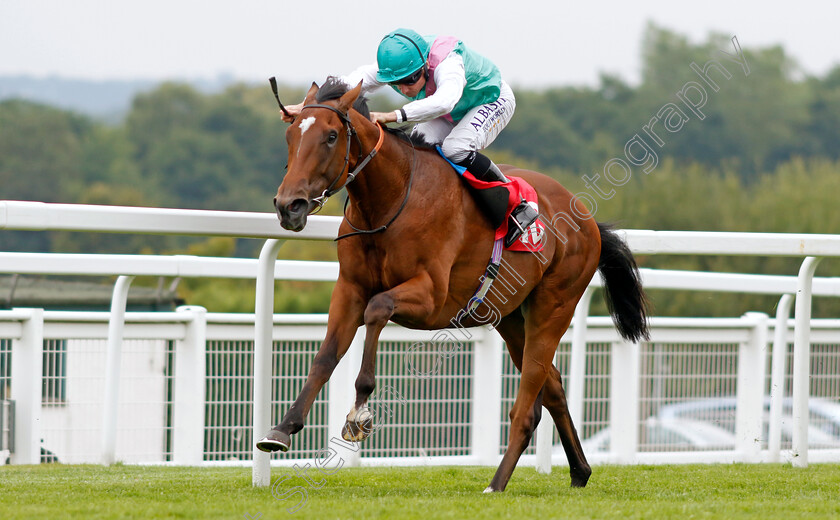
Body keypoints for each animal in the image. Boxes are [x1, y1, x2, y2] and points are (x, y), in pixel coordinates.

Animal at [258, 77, 648, 492]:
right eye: (290, 136)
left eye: (331, 136)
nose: (289, 206)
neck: (391, 200)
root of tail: (588, 221)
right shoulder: (349, 289)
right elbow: (326, 356)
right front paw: (282, 429)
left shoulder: (431, 297)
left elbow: (378, 309)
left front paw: (360, 411)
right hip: (509, 316)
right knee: (553, 385)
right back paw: (579, 471)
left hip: (554, 306)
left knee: (528, 404)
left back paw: (497, 482)